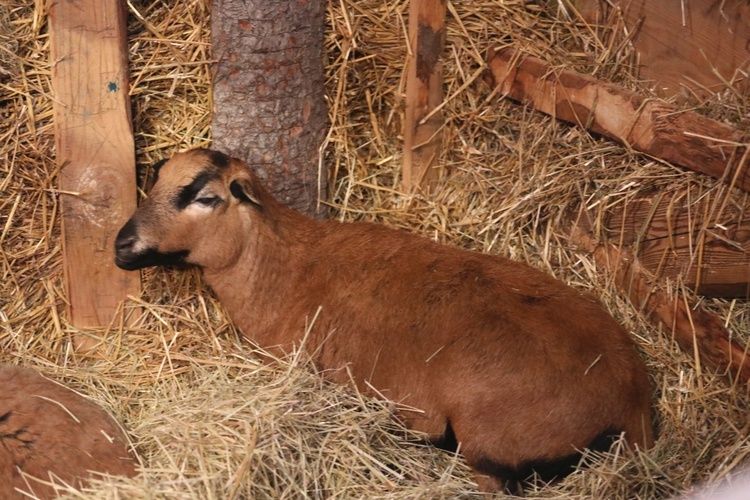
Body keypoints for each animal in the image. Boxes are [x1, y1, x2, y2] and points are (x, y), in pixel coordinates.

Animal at [114, 148, 656, 492]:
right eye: (156, 182)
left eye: (205, 198)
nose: (121, 245)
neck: (285, 268)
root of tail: (632, 399)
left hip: (487, 440)